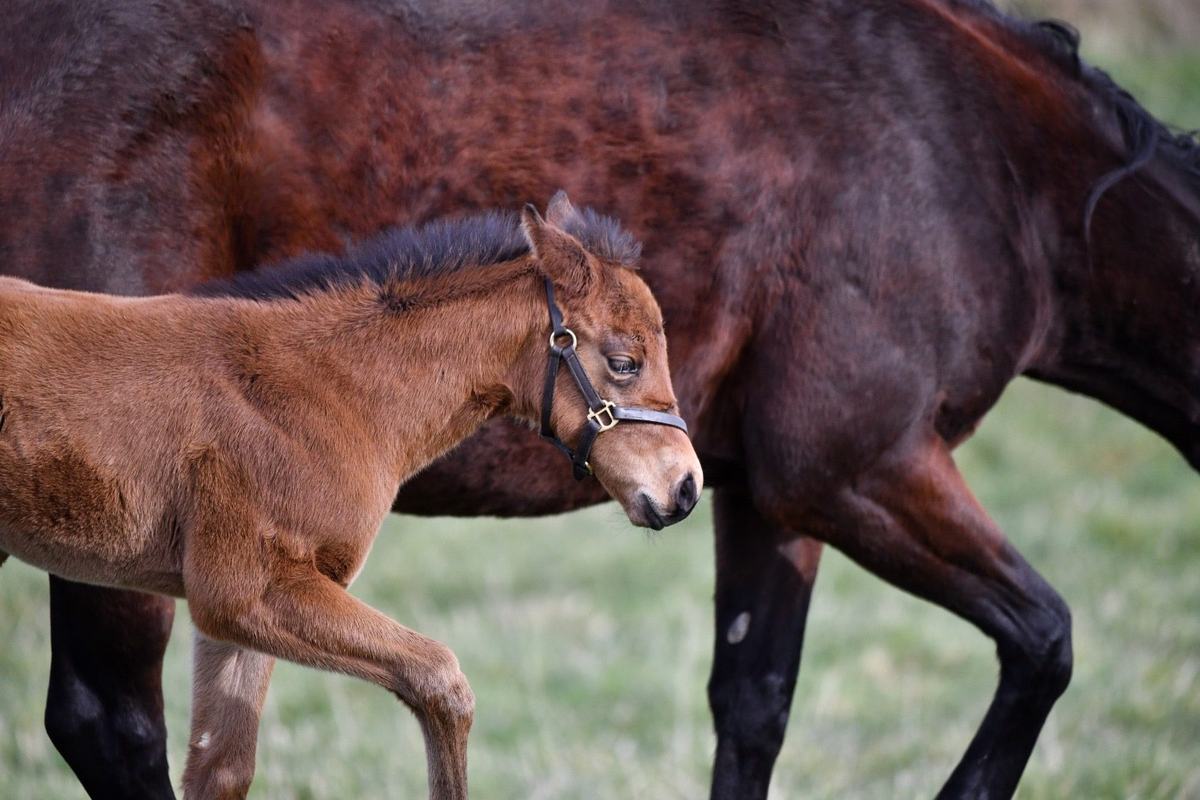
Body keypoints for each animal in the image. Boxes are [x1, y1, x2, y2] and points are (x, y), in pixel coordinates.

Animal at [0, 195, 702, 799]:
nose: (686, 487)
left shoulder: (230, 619)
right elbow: (441, 680)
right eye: (625, 361)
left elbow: (219, 770)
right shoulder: (246, 589)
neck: (326, 387)